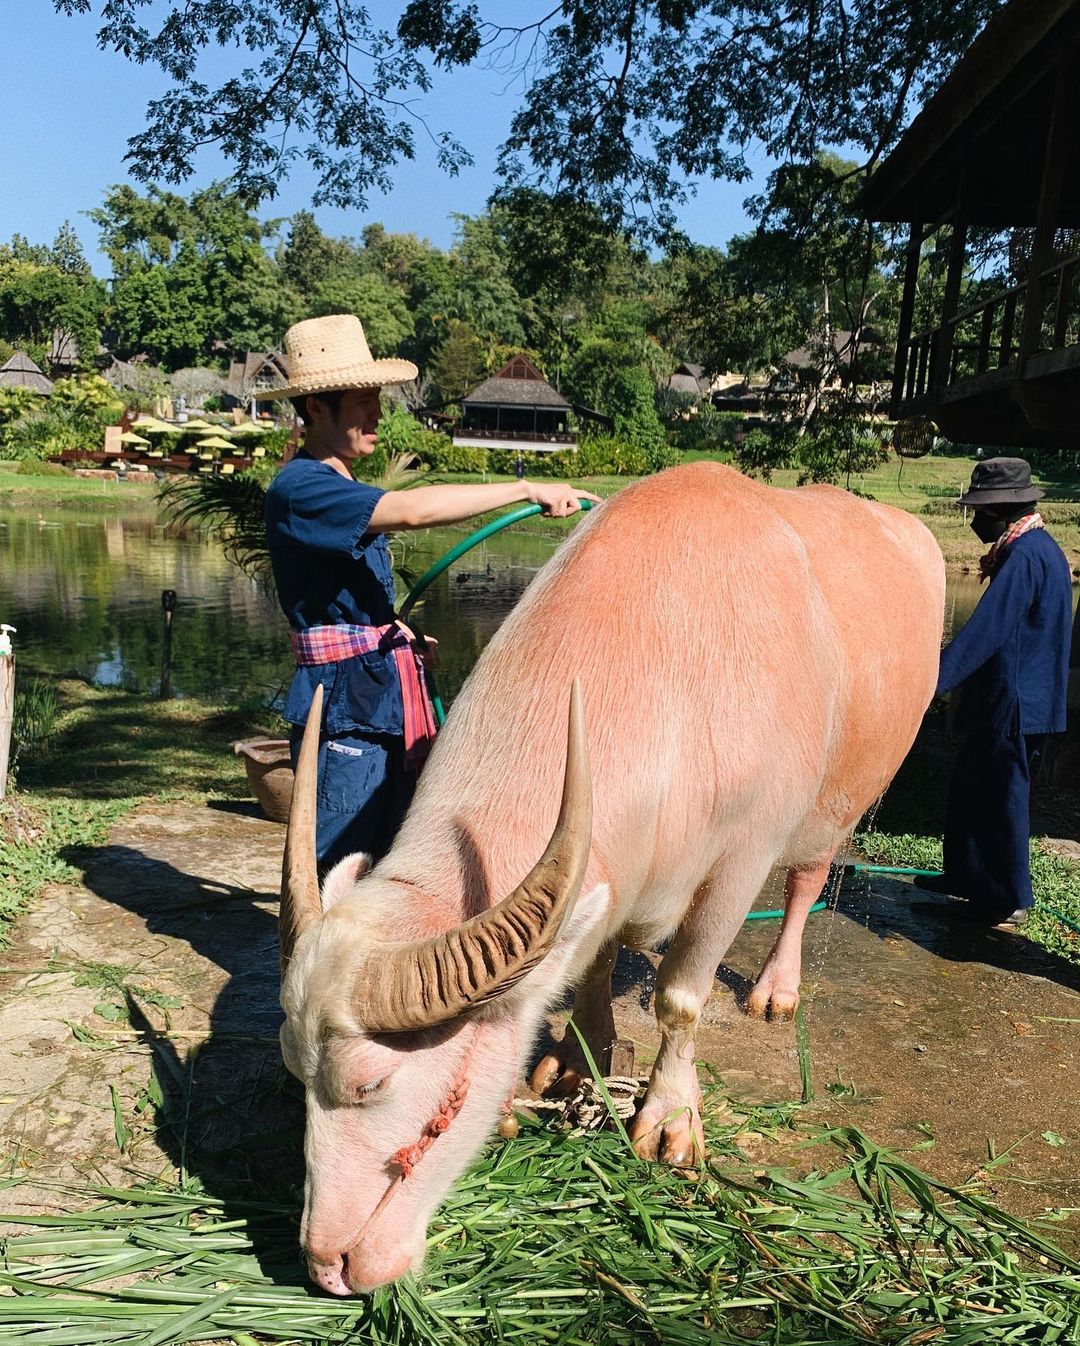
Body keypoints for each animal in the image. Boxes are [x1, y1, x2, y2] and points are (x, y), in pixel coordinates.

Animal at [277, 463, 942, 1292]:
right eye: (293, 1067)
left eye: (369, 1082)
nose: (326, 1263)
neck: (670, 675)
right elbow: (590, 964)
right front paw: (574, 1062)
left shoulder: (739, 863)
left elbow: (681, 998)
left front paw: (670, 1120)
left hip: (837, 805)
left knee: (806, 881)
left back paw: (776, 989)